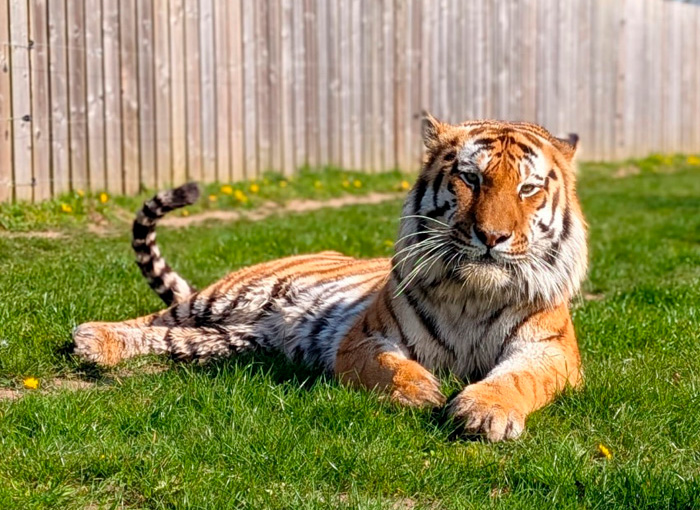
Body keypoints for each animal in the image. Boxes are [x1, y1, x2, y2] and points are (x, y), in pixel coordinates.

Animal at [73, 114, 588, 442]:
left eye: (528, 188)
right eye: (471, 178)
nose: (492, 236)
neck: (473, 294)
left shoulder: (551, 351)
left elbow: (518, 379)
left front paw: (485, 411)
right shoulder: (364, 338)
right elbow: (390, 367)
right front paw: (421, 391)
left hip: (231, 339)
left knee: (172, 338)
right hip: (229, 296)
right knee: (155, 319)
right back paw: (92, 338)